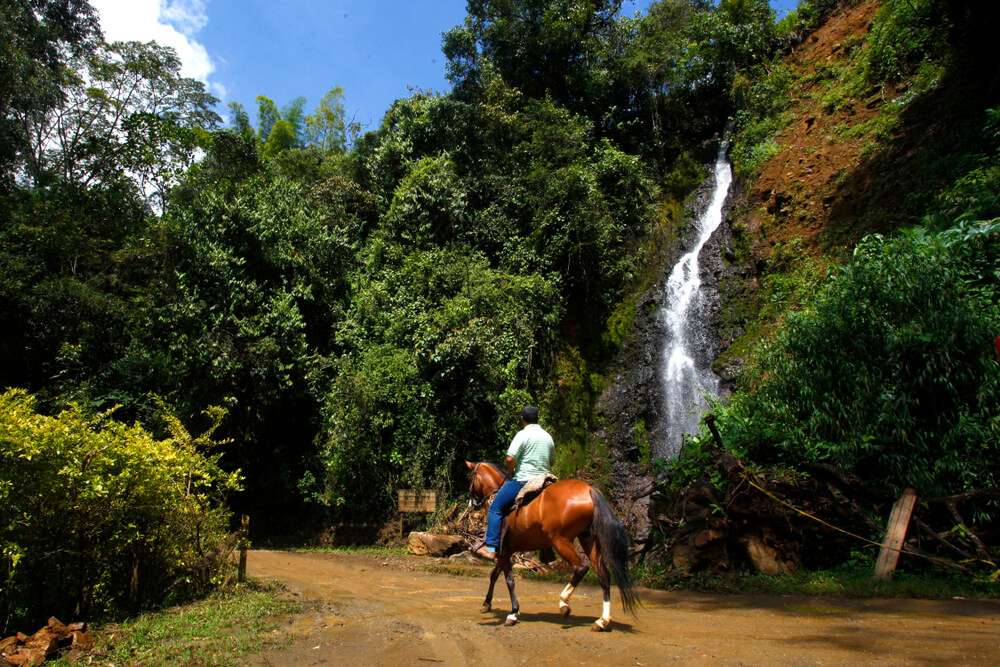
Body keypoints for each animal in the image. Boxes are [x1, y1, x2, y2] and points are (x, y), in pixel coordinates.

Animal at [462, 460, 636, 632]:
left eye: (470, 478)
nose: (472, 502)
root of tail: (589, 490)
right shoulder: (506, 549)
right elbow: (494, 574)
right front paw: (487, 603)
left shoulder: (504, 549)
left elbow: (509, 580)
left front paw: (513, 613)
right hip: (588, 540)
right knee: (603, 575)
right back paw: (602, 620)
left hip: (561, 541)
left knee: (581, 568)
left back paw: (564, 603)